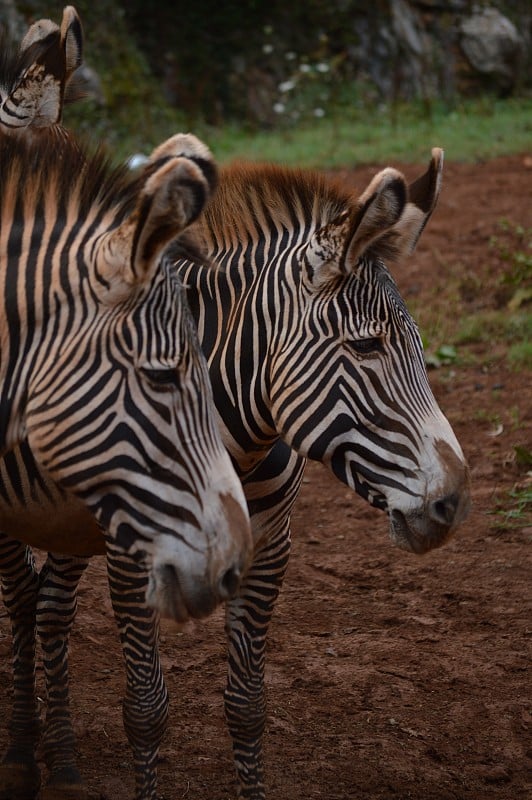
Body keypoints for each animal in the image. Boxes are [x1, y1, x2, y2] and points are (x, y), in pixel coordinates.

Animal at [0, 7, 252, 800]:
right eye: (165, 377)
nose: (229, 562)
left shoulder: (88, 502)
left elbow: (46, 605)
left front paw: (52, 752)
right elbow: (20, 596)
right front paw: (20, 749)